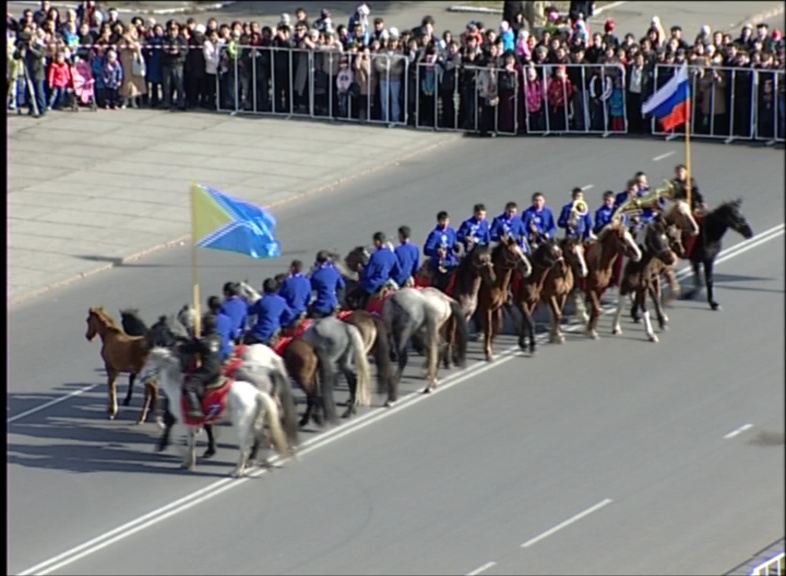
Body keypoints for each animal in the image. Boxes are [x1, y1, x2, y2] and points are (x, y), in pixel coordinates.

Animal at [138, 346, 290, 476]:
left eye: (149, 362)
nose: (141, 377)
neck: (178, 387)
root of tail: (256, 393)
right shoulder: (192, 423)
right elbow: (192, 441)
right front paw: (189, 462)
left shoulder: (184, 421)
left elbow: (178, 440)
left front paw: (187, 460)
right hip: (254, 423)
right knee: (261, 439)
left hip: (242, 426)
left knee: (245, 449)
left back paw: (237, 471)